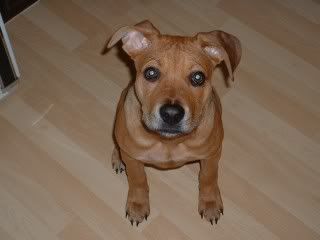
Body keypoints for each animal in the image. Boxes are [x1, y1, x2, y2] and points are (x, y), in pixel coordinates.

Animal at [106, 20, 241, 225]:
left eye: (198, 77)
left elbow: (208, 177)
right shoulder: (134, 159)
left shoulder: (211, 155)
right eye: (151, 73)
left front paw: (210, 202)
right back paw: (117, 157)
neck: (168, 142)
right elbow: (138, 180)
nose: (171, 114)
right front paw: (138, 204)